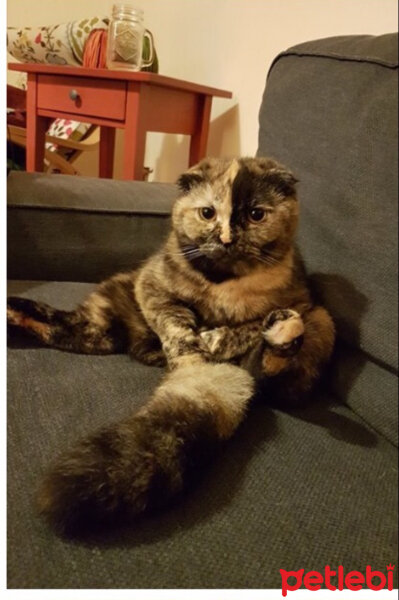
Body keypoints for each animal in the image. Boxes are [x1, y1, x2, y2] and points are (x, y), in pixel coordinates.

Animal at [7, 156, 336, 536]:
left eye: (256, 214)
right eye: (207, 212)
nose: (226, 238)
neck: (224, 284)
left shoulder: (302, 302)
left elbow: (247, 327)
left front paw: (214, 339)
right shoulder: (154, 289)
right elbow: (177, 327)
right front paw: (189, 354)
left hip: (321, 324)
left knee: (276, 375)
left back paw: (280, 333)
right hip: (101, 323)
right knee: (56, 324)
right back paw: (15, 313)